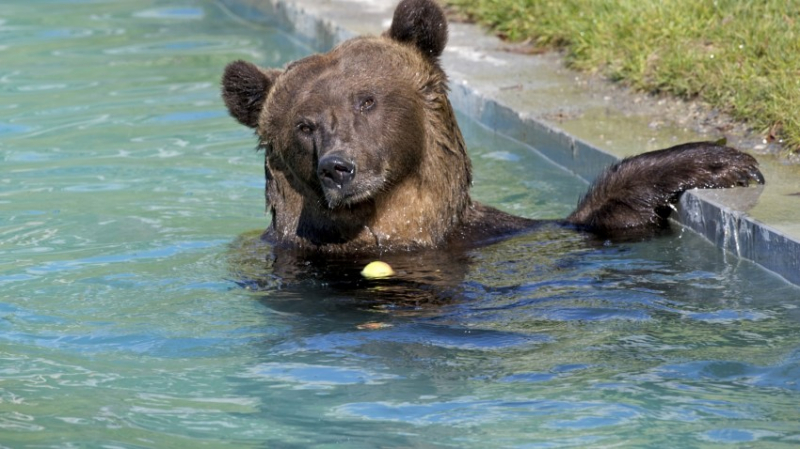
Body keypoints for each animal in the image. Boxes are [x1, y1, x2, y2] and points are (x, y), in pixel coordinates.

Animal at [220, 0, 764, 254]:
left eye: (366, 100)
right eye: (304, 125)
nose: (339, 168)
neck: (395, 229)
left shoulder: (504, 233)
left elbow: (607, 216)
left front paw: (723, 162)